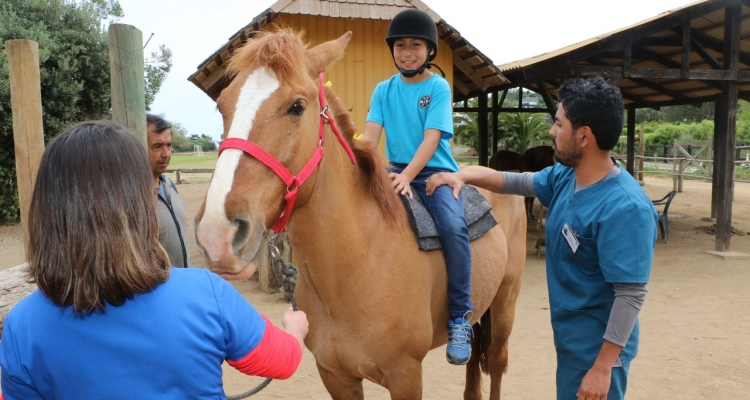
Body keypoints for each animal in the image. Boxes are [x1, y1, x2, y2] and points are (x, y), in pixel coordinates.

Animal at [194, 29, 528, 398]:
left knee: (496, 363)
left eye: (297, 106)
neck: (360, 258)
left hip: (505, 305)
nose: (217, 233)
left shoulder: (406, 376)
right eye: (222, 105)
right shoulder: (336, 376)